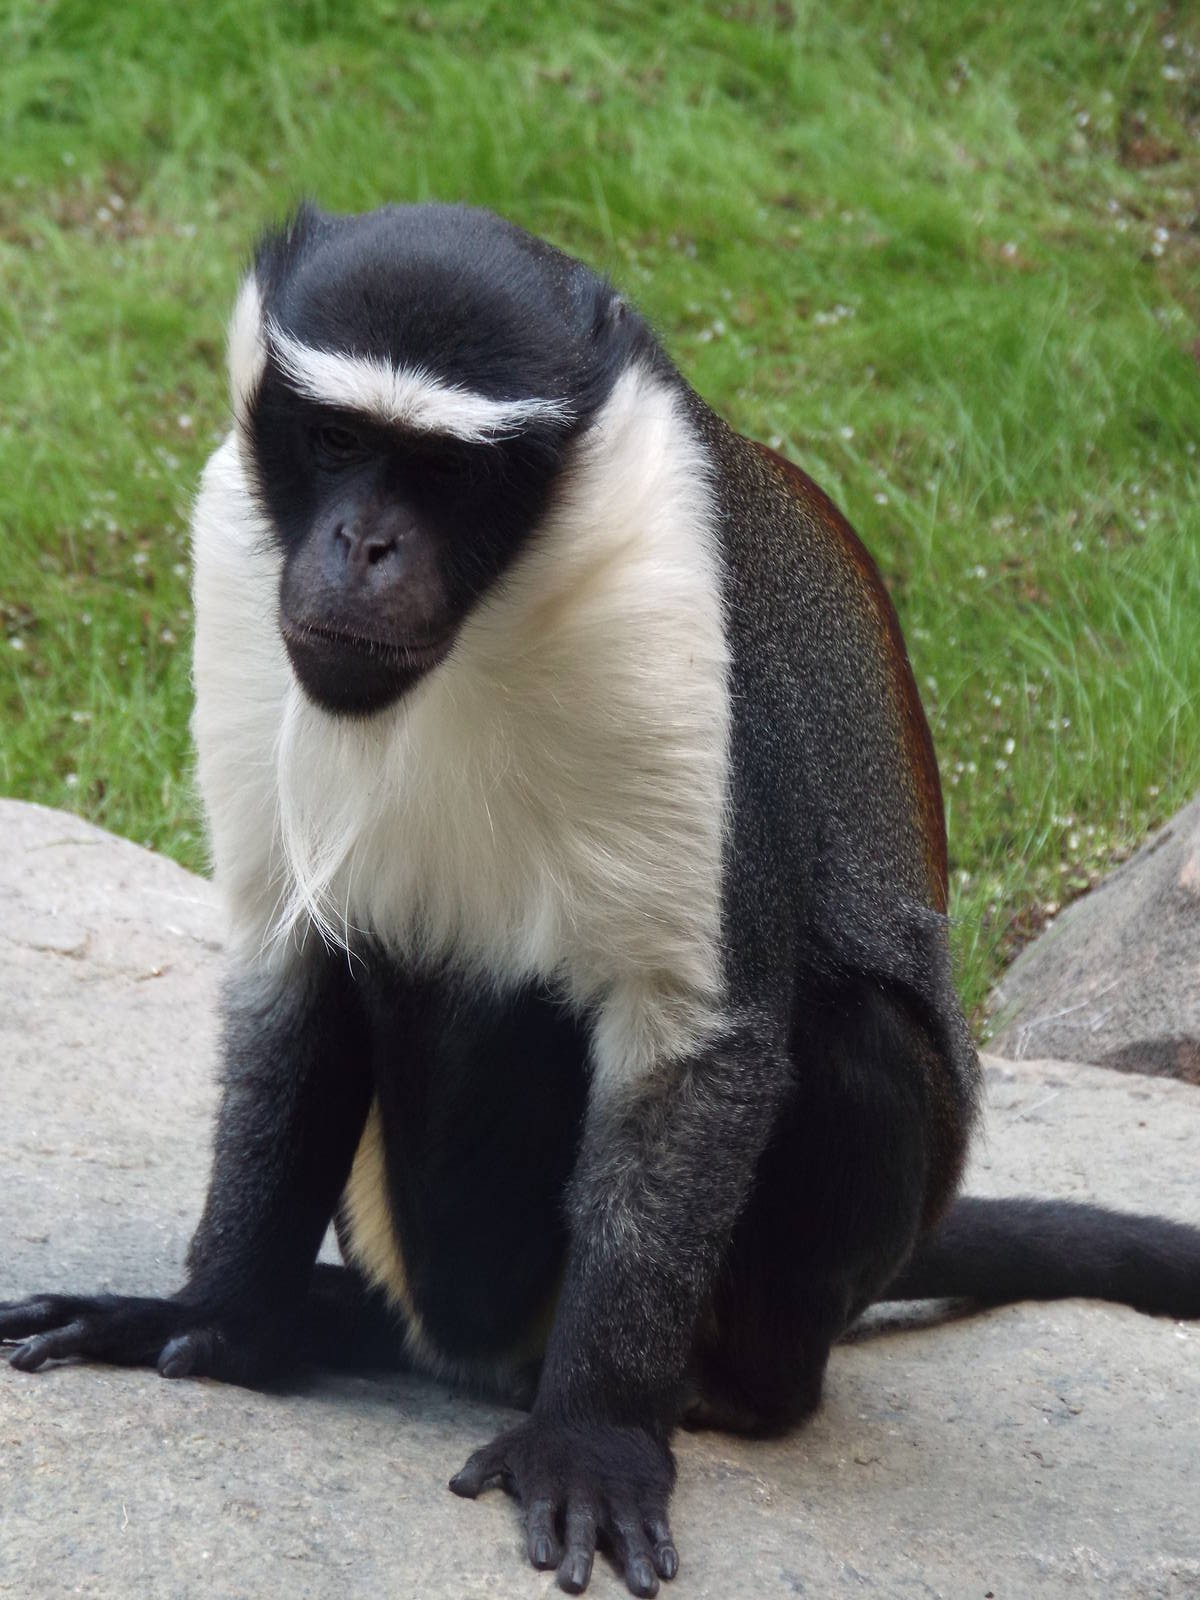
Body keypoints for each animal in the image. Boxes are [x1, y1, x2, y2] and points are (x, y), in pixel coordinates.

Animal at [2, 202, 1198, 1599]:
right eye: (338, 441)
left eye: (446, 477)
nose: (362, 545)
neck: (487, 620)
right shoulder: (239, 568)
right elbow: (294, 979)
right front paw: (214, 1317)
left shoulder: (670, 618)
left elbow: (694, 1041)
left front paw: (591, 1437)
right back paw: (341, 1320)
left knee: (854, 1037)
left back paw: (726, 1391)